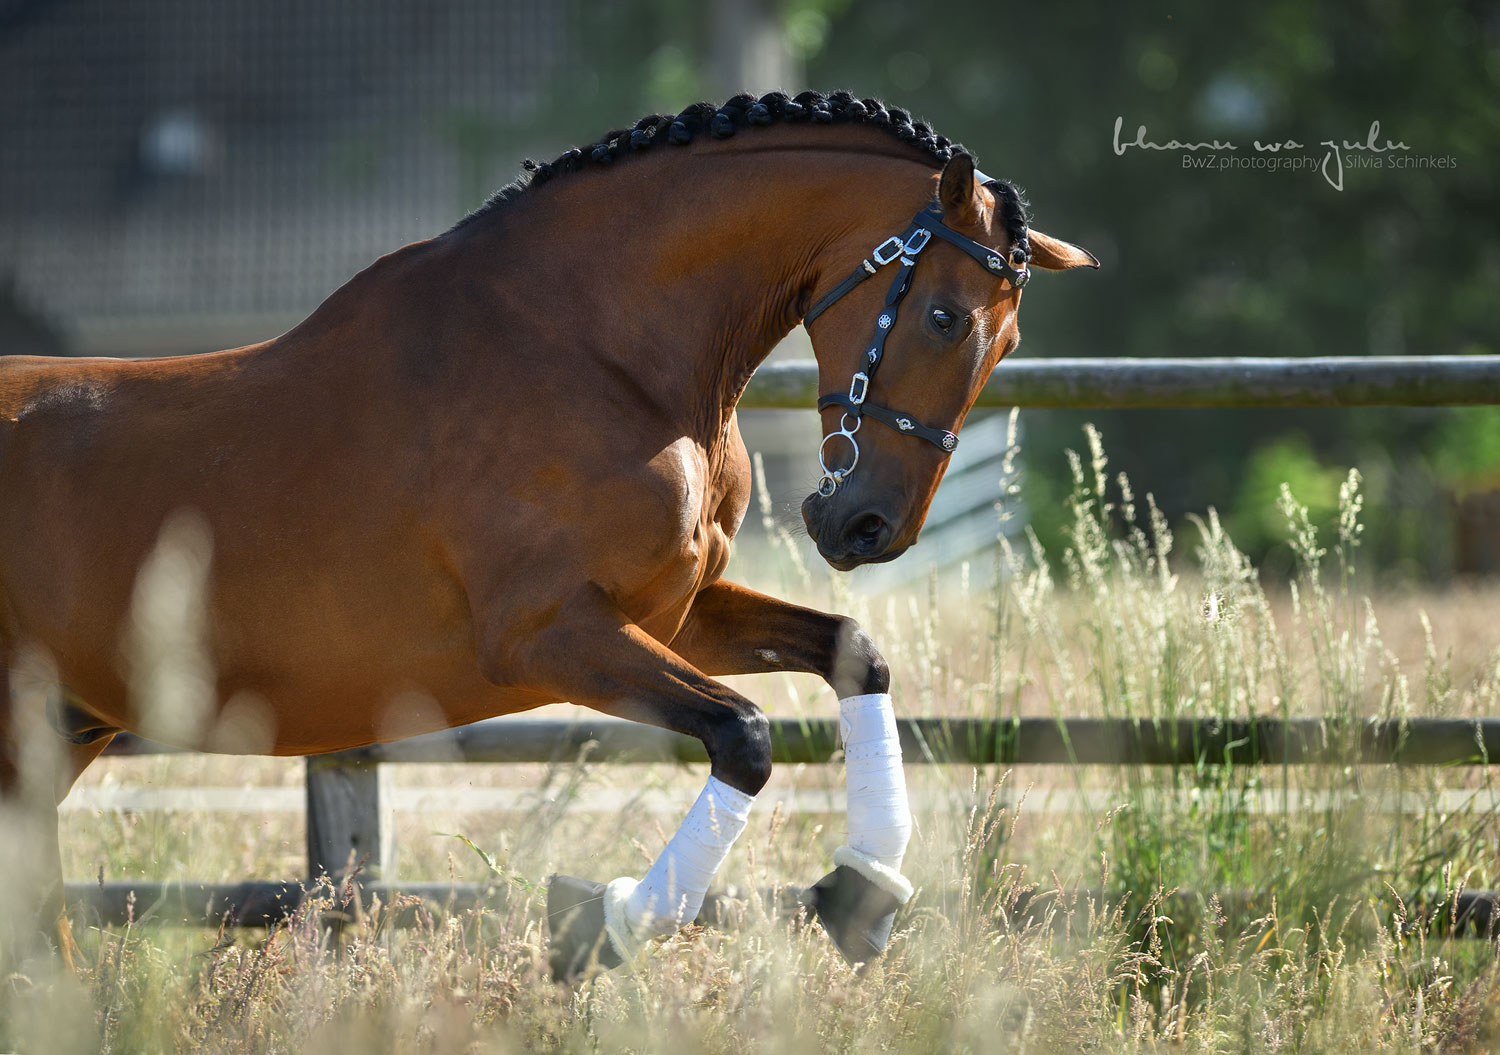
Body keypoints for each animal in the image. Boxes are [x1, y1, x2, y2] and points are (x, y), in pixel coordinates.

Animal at [2, 90, 1104, 984]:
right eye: (944, 315)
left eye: (1005, 338)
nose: (868, 525)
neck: (598, 351)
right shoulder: (546, 637)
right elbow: (744, 735)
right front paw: (600, 925)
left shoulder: (679, 612)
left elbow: (855, 654)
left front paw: (859, 892)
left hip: (58, 734)